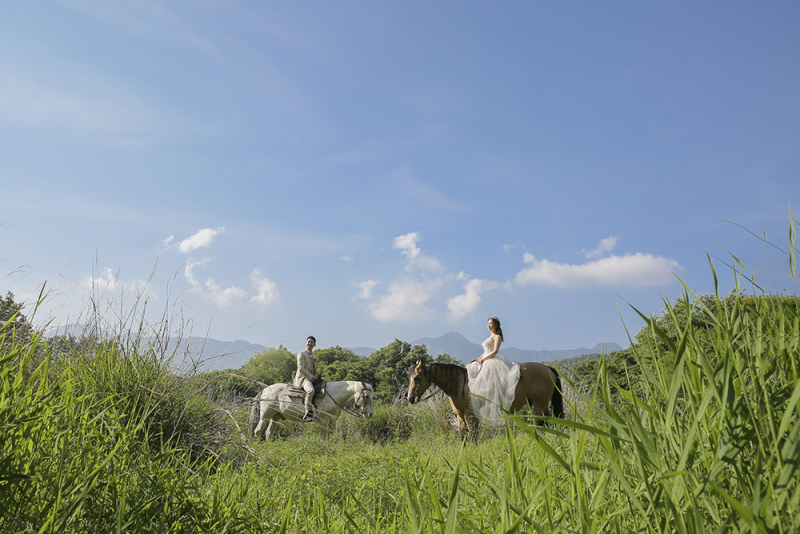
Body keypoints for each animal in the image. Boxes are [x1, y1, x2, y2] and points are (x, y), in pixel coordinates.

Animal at [247, 384, 376, 442]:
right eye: (366, 396)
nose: (370, 414)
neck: (333, 396)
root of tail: (264, 390)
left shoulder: (333, 420)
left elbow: (331, 435)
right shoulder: (324, 419)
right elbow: (323, 438)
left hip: (276, 417)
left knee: (268, 432)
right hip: (265, 416)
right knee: (257, 431)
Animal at [410, 362, 564, 438]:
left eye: (416, 378)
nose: (410, 398)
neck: (459, 384)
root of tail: (547, 368)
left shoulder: (469, 414)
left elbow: (473, 435)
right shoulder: (460, 415)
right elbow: (463, 434)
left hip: (539, 405)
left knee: (542, 423)